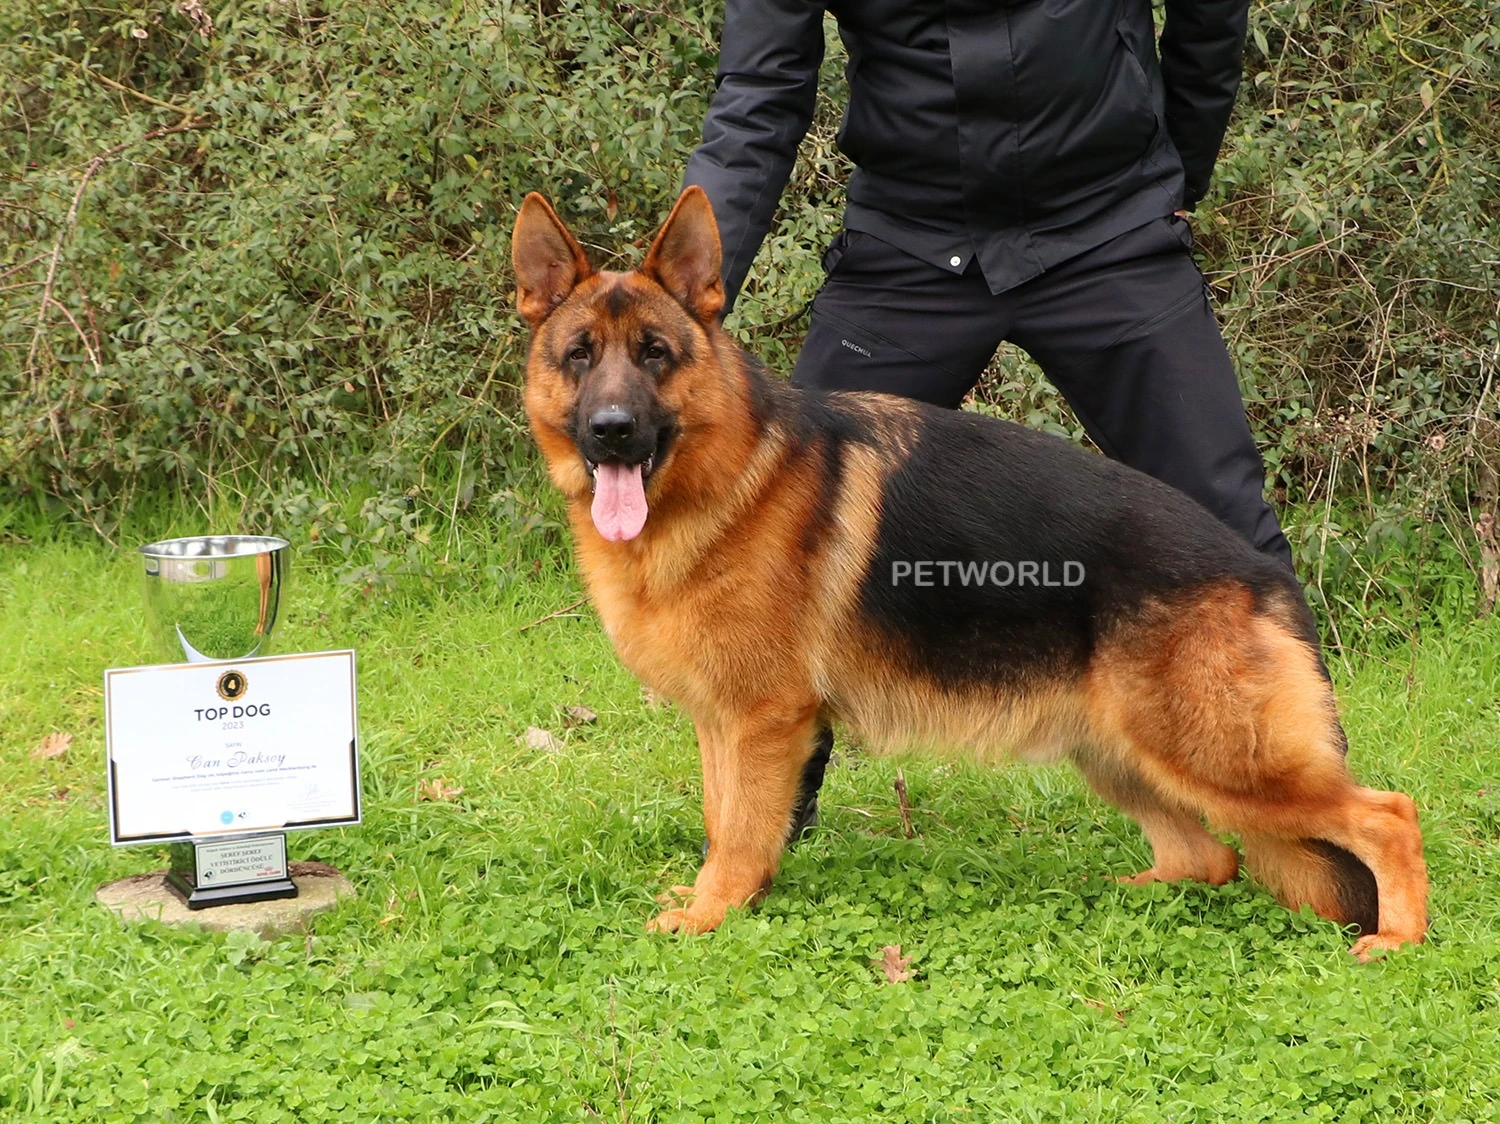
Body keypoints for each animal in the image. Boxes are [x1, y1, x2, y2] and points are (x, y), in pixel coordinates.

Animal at [507, 183, 1428, 954]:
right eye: (581, 356)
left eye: (656, 354)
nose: (612, 431)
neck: (725, 477)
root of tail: (1265, 577)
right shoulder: (719, 723)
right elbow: (719, 811)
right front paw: (720, 900)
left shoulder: (763, 723)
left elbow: (737, 831)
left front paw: (710, 913)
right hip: (1120, 753)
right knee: (1209, 859)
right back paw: (1125, 893)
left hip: (1219, 758)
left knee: (1387, 814)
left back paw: (1399, 939)